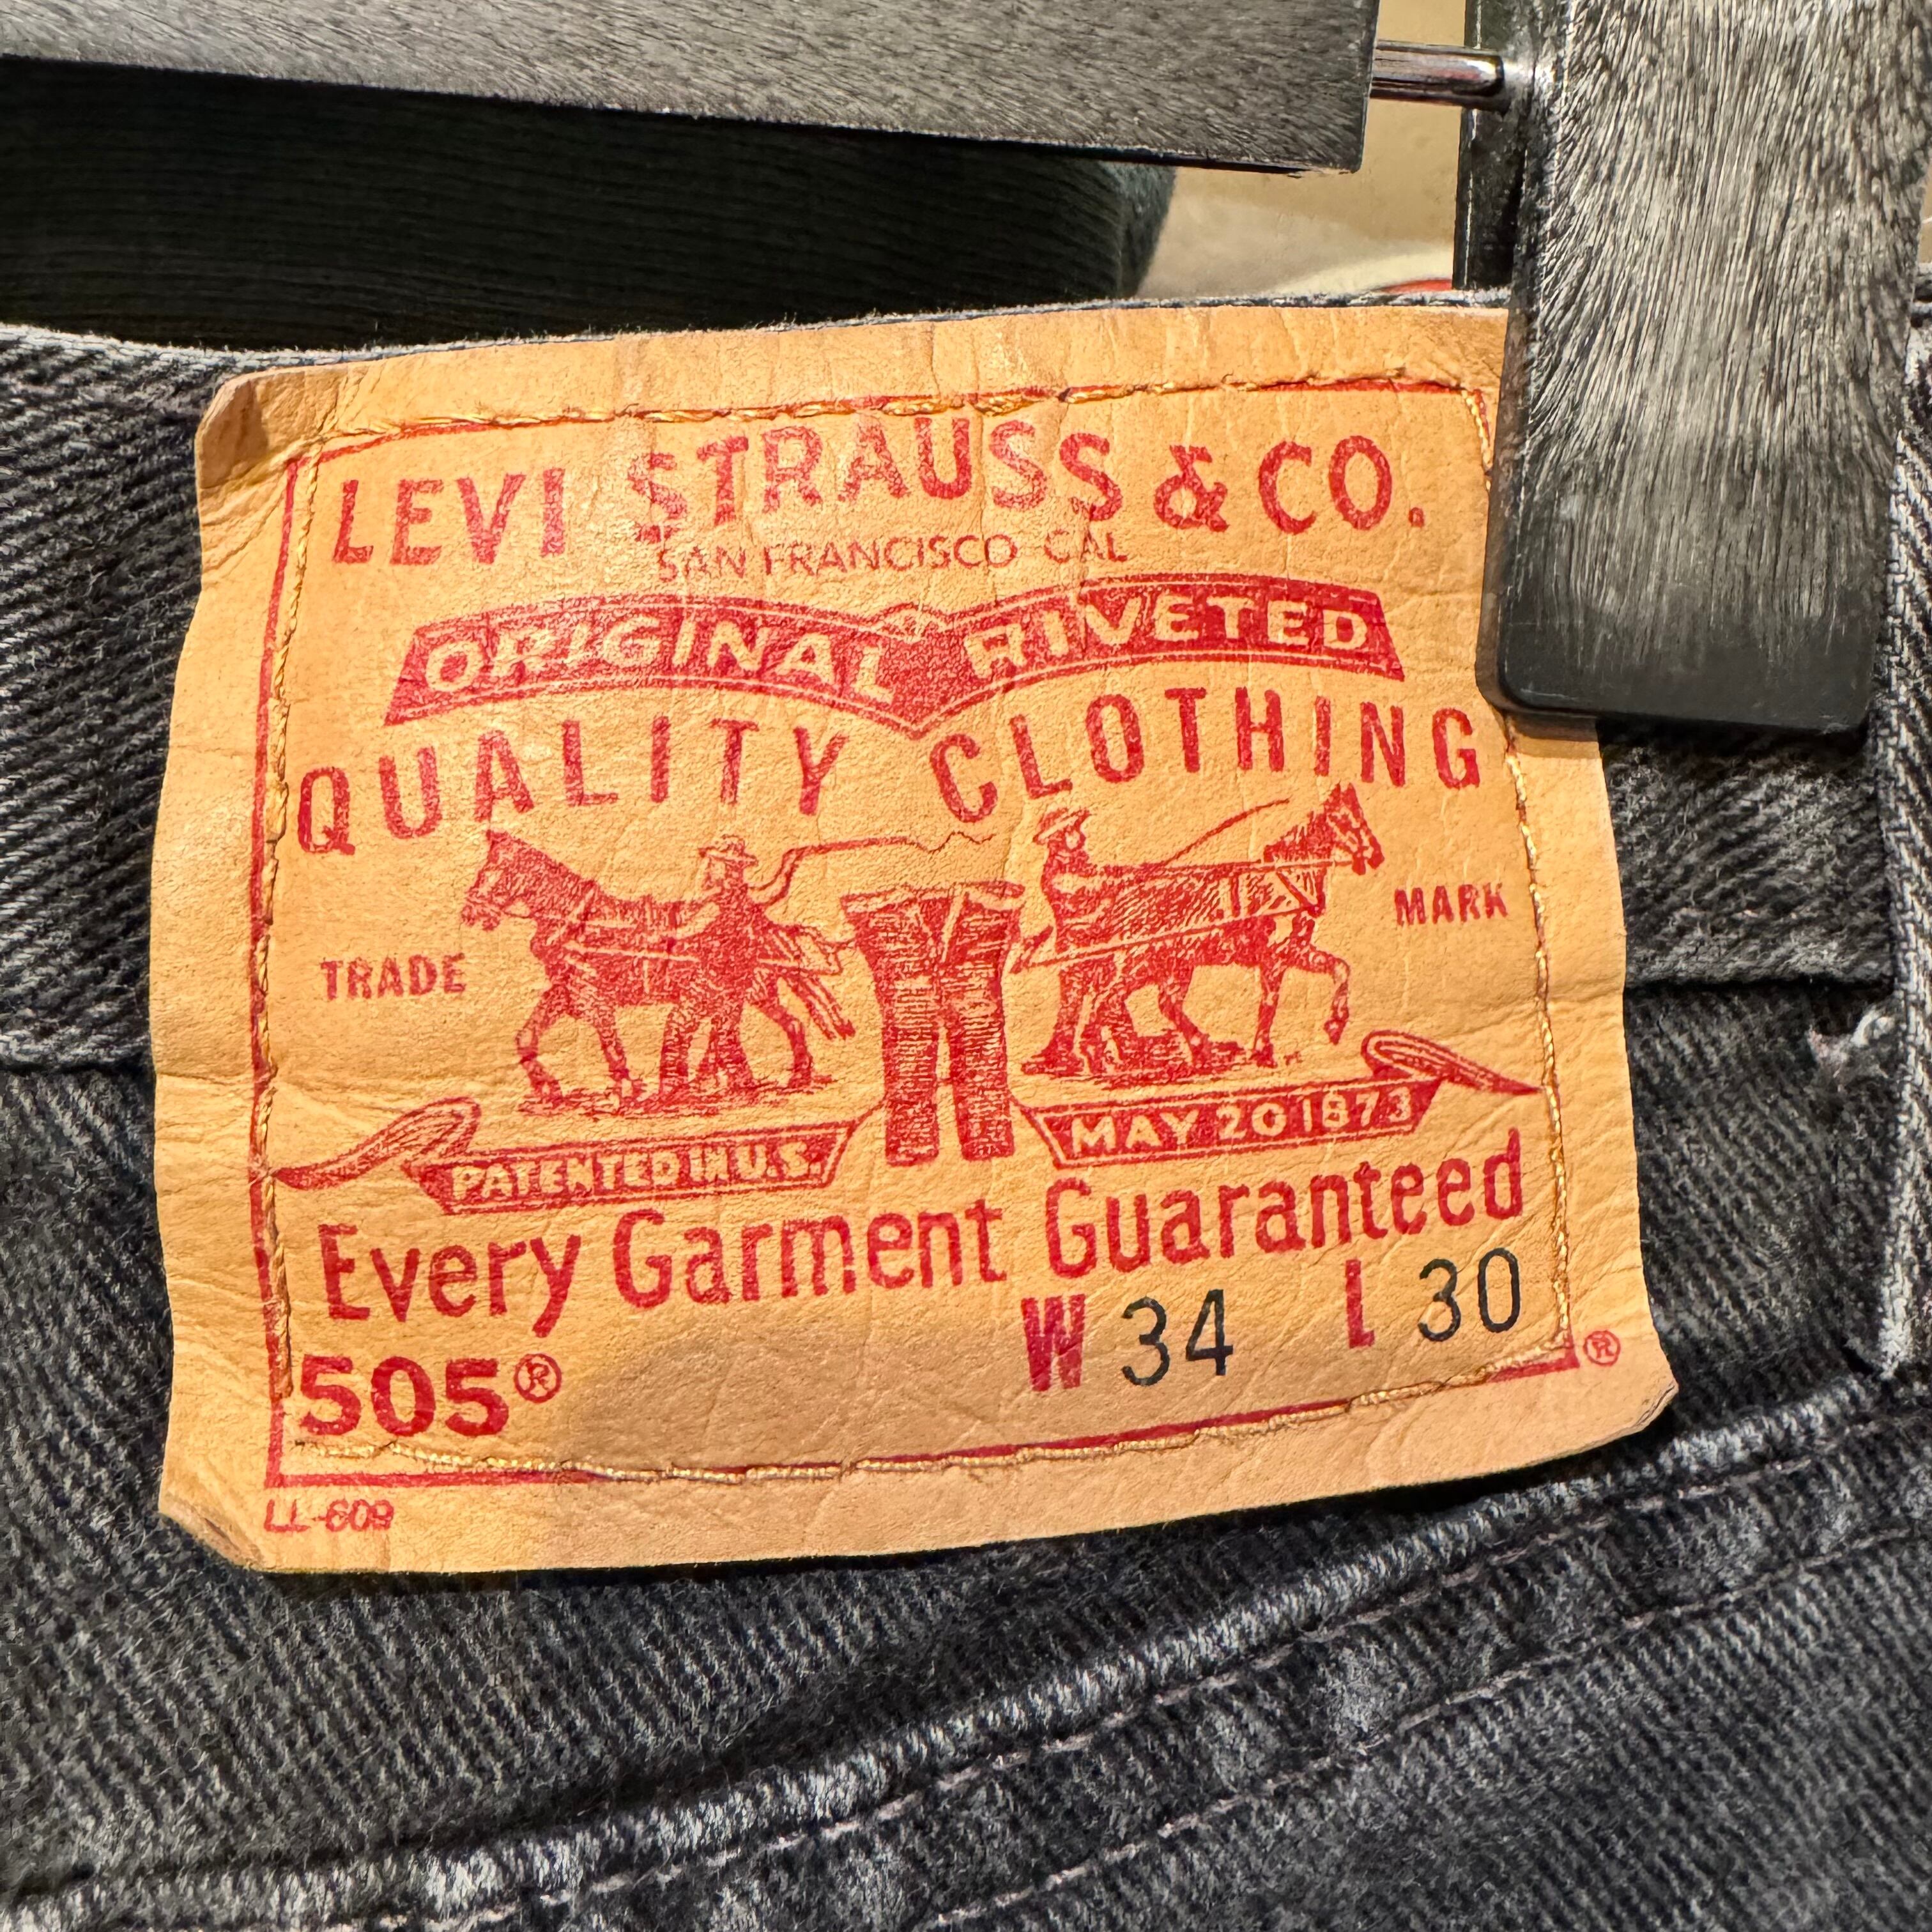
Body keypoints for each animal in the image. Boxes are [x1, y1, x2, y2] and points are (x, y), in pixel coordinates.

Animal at [459, 831, 846, 1108]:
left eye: (493, 873)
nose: (470, 912)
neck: (579, 924)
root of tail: (765, 926)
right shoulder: (566, 993)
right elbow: (527, 1037)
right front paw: (549, 1089)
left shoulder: (595, 998)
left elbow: (611, 1043)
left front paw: (626, 1089)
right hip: (753, 994)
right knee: (778, 1025)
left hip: (746, 991)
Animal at [1073, 784, 1383, 1076]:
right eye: (1344, 820)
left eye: (1361, 815)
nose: (1376, 855)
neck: (1287, 878)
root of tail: (1124, 898)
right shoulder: (1277, 955)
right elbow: (1270, 1001)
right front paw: (1265, 1051)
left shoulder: (1296, 950)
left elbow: (1339, 968)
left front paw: (1334, 1024)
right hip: (1140, 964)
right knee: (1106, 1001)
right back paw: (1096, 1054)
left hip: (1175, 966)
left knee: (1165, 1003)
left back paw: (1199, 1049)